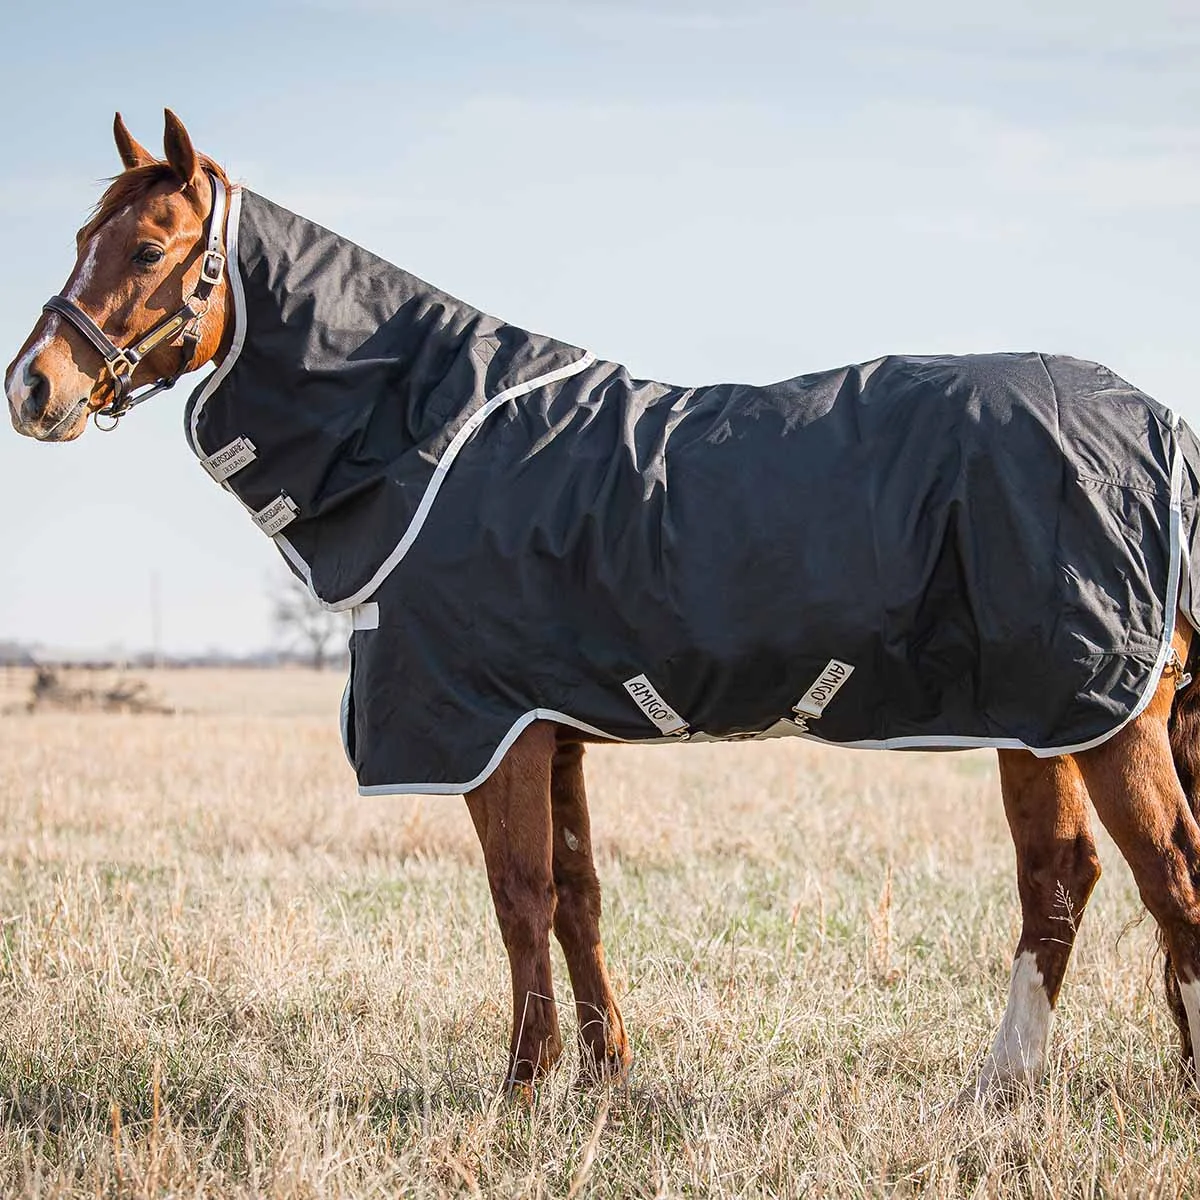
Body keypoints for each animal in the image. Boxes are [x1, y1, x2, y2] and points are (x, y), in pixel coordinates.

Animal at [9, 109, 1200, 1103]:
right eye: (80, 237)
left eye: (149, 251)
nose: (33, 388)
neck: (428, 432)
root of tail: (1159, 428)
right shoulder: (556, 727)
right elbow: (578, 892)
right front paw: (603, 1071)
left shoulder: (495, 730)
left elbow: (520, 894)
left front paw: (522, 1084)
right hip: (1040, 720)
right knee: (1063, 881)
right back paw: (1001, 1088)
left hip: (1100, 712)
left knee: (1166, 873)